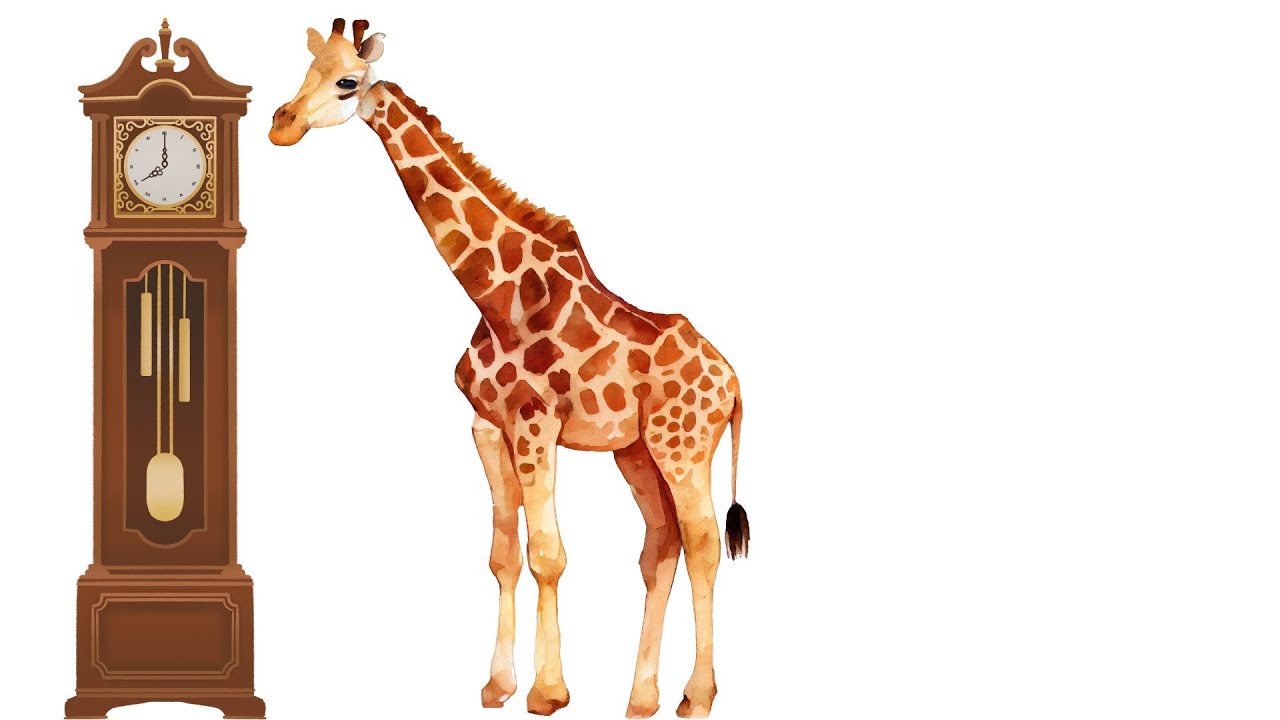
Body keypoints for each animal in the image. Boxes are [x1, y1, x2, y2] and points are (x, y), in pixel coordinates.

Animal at [269, 19, 751, 718]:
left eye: (347, 82)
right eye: (305, 70)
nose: (281, 124)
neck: (495, 296)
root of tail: (734, 383)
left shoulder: (535, 425)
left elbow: (547, 553)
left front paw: (548, 692)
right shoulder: (487, 427)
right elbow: (503, 555)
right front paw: (498, 685)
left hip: (683, 446)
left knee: (705, 546)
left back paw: (697, 696)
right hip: (635, 451)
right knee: (661, 546)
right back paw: (641, 697)